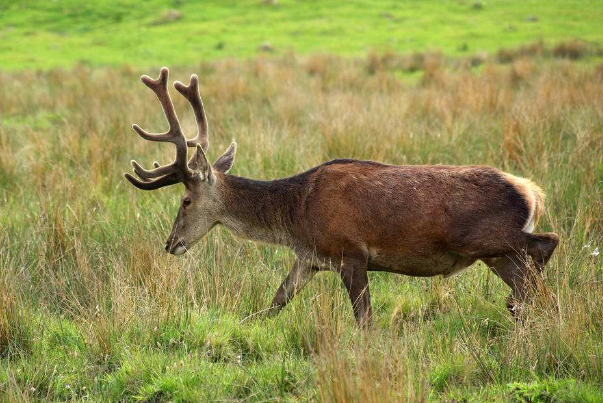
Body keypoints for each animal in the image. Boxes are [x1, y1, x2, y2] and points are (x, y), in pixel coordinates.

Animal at [124, 68, 560, 328]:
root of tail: (532, 192)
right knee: (536, 279)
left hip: (483, 238)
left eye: (185, 201)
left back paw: (517, 305)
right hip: (496, 256)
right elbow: (276, 301)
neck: (297, 215)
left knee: (547, 244)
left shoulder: (351, 251)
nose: (171, 243)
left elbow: (364, 320)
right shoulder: (310, 258)